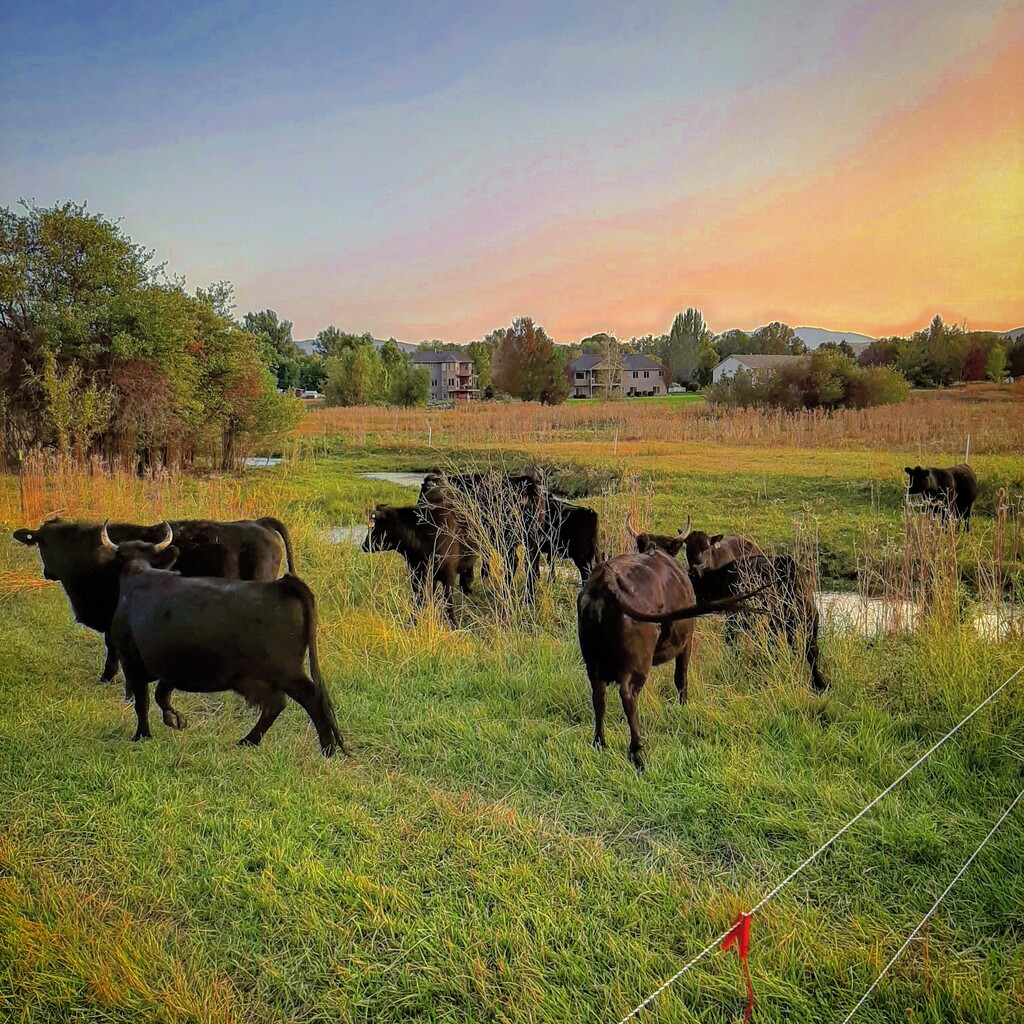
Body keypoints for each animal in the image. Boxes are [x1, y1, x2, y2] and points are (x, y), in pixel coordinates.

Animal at [102, 523, 344, 756]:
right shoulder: (170, 665)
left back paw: (327, 749)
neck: (138, 575)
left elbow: (142, 702)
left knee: (310, 699)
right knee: (276, 704)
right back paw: (249, 741)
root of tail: (281, 587)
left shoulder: (132, 660)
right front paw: (176, 719)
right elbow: (161, 696)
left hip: (286, 671)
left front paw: (142, 736)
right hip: (256, 677)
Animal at [362, 489, 477, 625]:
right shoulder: (416, 573)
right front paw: (412, 622)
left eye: (376, 526)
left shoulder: (449, 574)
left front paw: (454, 624)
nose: (364, 545)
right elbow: (418, 598)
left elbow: (448, 602)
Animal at [578, 547, 760, 769]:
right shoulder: (686, 642)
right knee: (628, 696)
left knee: (599, 696)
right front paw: (684, 706)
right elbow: (681, 678)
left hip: (592, 661)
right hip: (638, 662)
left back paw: (599, 742)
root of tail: (606, 579)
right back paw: (638, 752)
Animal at [627, 517, 826, 692]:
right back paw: (819, 685)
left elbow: (732, 644)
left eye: (669, 549)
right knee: (811, 651)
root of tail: (786, 565)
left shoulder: (734, 620)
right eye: (641, 546)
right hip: (807, 621)